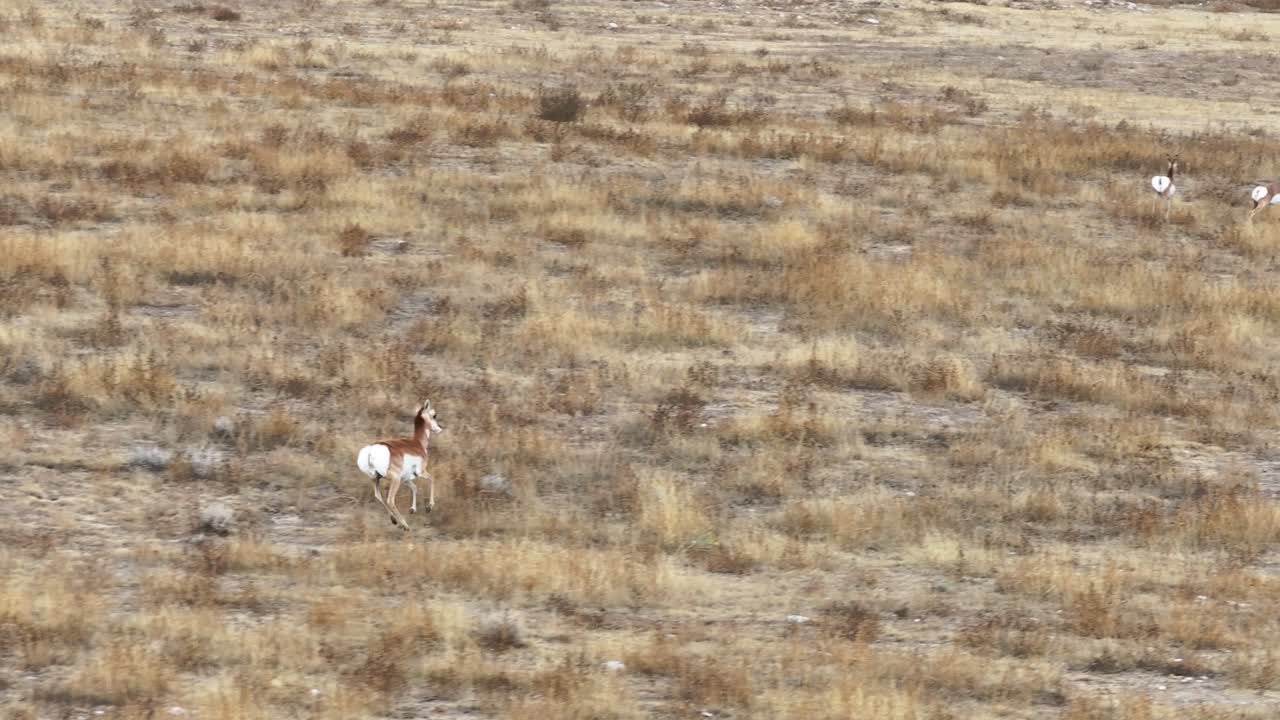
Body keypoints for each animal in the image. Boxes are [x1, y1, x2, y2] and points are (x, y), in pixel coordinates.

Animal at [357, 399, 445, 531]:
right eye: (434, 415)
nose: (440, 428)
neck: (417, 443)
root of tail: (371, 450)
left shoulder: (406, 479)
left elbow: (414, 488)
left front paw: (412, 509)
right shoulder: (421, 472)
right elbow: (432, 479)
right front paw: (429, 507)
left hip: (376, 478)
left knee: (378, 496)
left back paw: (394, 520)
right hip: (395, 480)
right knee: (390, 500)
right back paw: (405, 525)